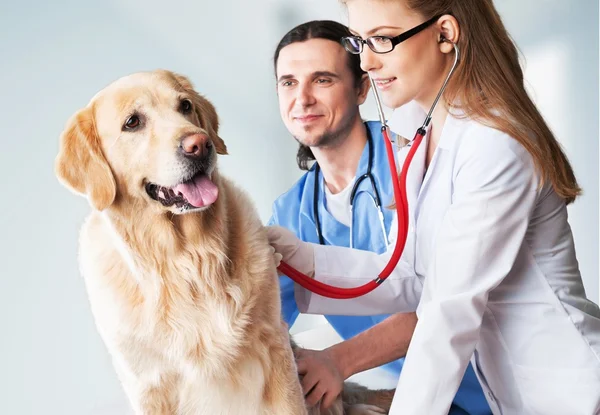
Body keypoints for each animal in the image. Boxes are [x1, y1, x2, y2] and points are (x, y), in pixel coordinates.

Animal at [54, 70, 394, 414]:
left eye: (185, 106)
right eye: (132, 122)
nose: (199, 145)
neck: (188, 258)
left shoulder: (275, 347)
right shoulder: (149, 386)